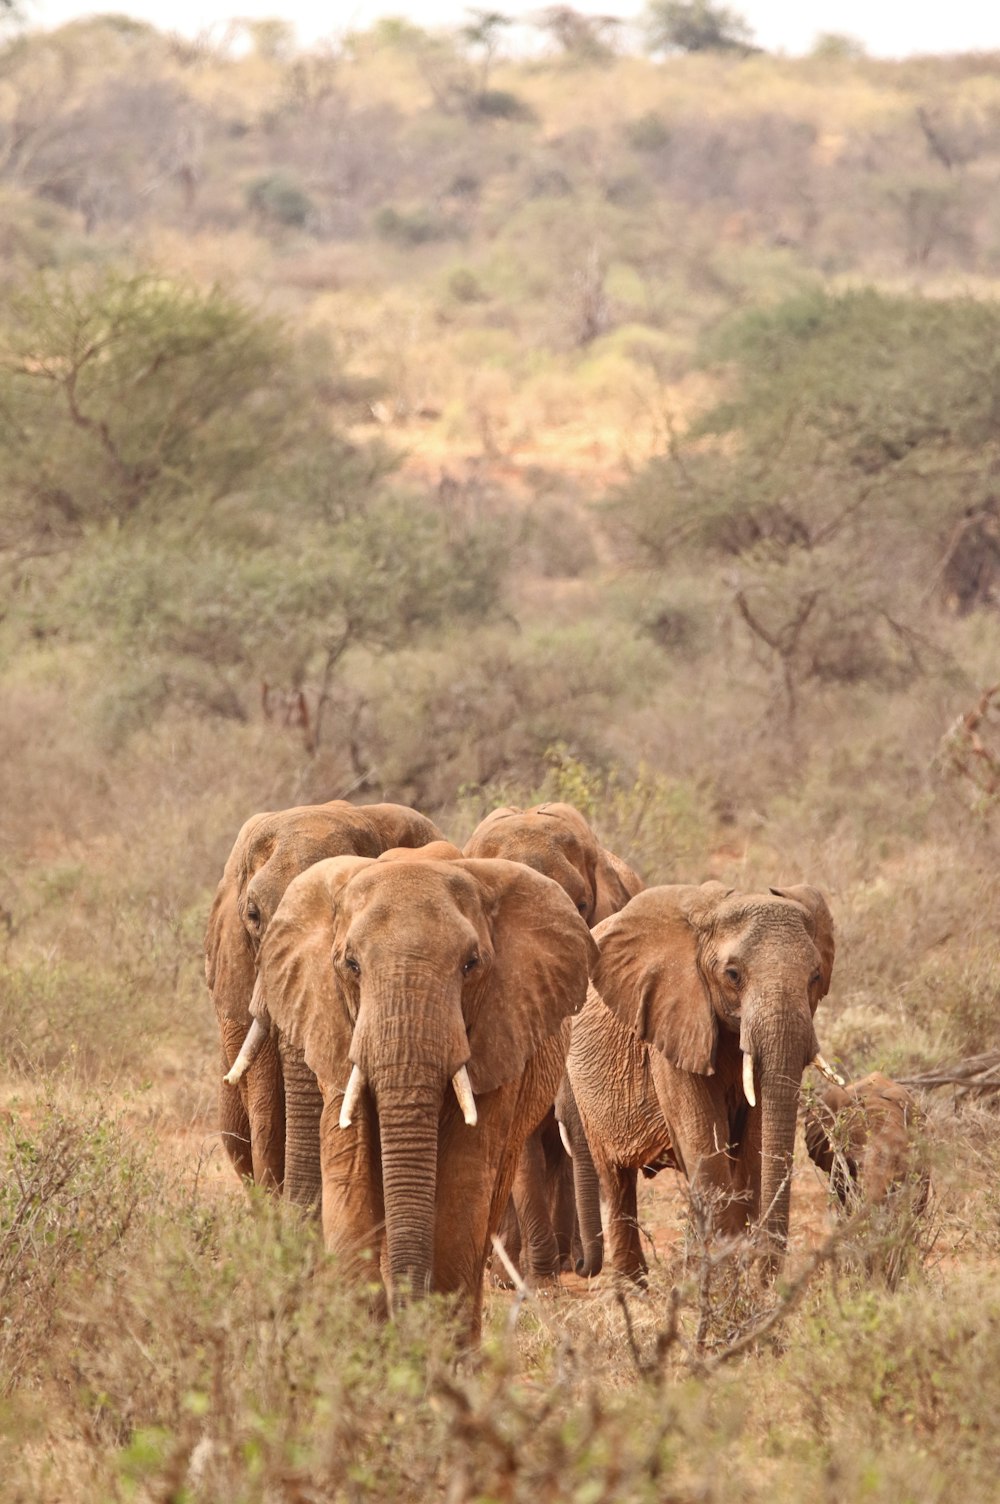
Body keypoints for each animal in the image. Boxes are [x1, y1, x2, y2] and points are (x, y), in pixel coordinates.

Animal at [246, 860, 595, 1341]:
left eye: (471, 964)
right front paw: (370, 1342)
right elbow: (350, 1172)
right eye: (350, 964)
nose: (404, 1320)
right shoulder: (335, 1026)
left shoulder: (499, 1033)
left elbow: (462, 1183)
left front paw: (433, 1344)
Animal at [565, 878, 836, 1281]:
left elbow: (753, 1145)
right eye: (733, 975)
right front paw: (724, 1276)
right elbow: (705, 1146)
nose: (765, 1274)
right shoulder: (671, 1023)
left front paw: (734, 1274)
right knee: (616, 1180)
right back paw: (634, 1285)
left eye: (815, 976)